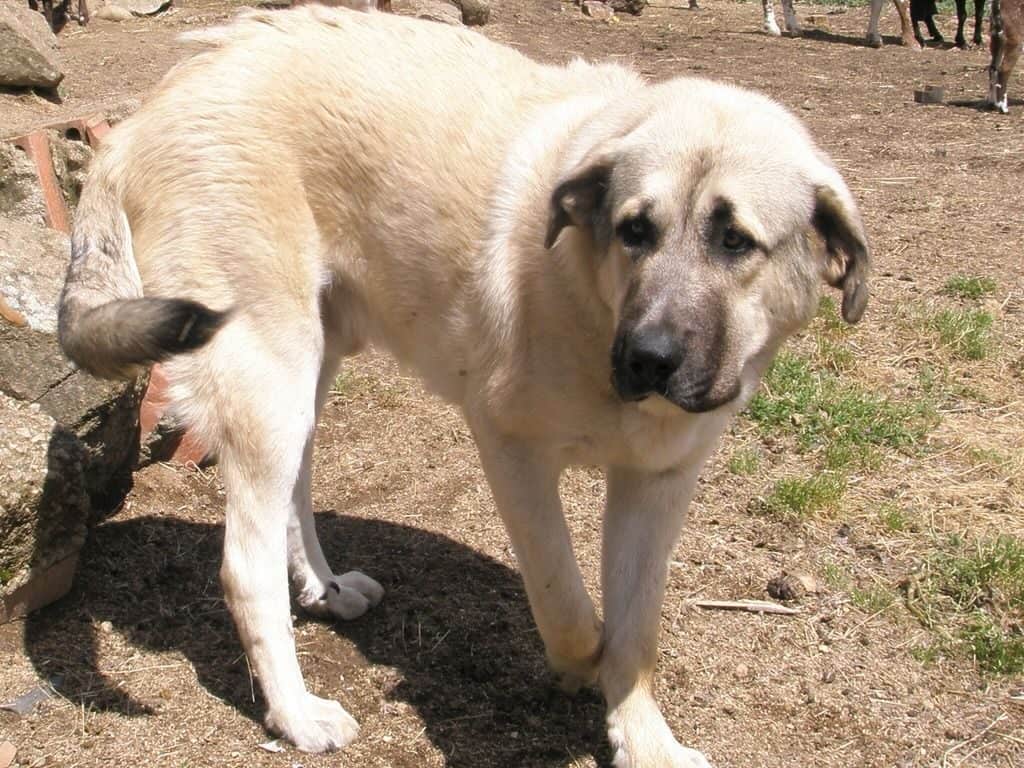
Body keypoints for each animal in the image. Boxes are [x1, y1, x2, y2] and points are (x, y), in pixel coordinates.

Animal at [59, 7, 868, 768]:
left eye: (735, 241)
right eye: (635, 230)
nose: (648, 357)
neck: (591, 297)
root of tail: (143, 116)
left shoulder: (659, 482)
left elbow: (638, 630)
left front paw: (644, 740)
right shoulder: (511, 449)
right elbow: (566, 600)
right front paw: (584, 661)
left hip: (308, 370)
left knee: (295, 492)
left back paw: (324, 588)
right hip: (269, 376)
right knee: (242, 566)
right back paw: (295, 714)